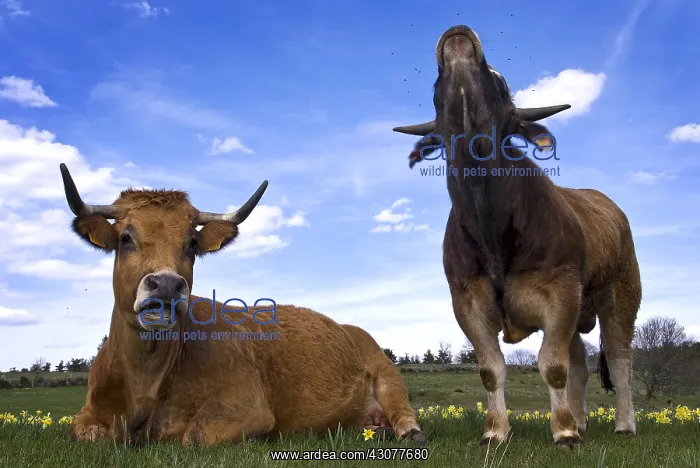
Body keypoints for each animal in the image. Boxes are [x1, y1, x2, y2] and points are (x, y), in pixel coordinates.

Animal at [59, 163, 427, 447]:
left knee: (403, 410)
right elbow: (82, 431)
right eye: (125, 238)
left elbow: (194, 436)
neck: (144, 381)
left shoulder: (248, 403)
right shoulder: (89, 411)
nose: (165, 285)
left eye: (192, 244)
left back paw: (407, 432)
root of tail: (349, 327)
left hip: (386, 370)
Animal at [391, 25, 641, 448]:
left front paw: (563, 433)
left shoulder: (561, 291)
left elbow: (552, 365)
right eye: (435, 85)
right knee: (580, 364)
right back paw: (582, 421)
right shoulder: (467, 302)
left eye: (502, 81)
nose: (458, 36)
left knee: (621, 359)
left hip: (622, 294)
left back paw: (623, 425)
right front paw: (496, 431)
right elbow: (491, 369)